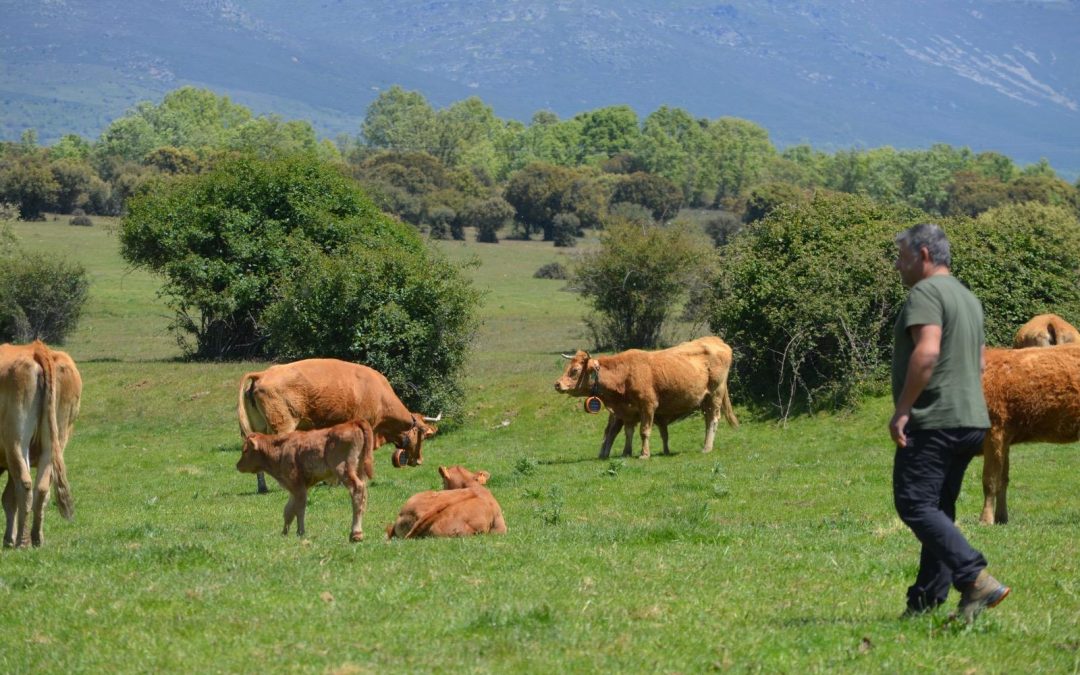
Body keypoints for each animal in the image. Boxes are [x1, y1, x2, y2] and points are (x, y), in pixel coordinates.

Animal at [1, 341, 81, 548]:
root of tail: (38, 349)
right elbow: (9, 499)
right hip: (55, 443)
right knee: (42, 488)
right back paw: (36, 537)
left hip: (17, 441)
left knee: (25, 484)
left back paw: (22, 541)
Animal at [236, 420, 376, 541]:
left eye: (245, 450)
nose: (237, 465)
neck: (280, 449)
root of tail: (353, 423)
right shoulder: (294, 488)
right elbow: (289, 510)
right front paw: (284, 533)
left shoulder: (298, 486)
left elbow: (299, 509)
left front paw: (300, 532)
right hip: (359, 471)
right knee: (363, 493)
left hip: (343, 470)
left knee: (357, 490)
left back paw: (355, 534)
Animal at [237, 359, 439, 493]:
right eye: (423, 435)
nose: (419, 460)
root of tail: (263, 374)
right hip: (283, 426)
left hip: (259, 427)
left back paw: (262, 487)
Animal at [554, 336, 738, 459]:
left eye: (575, 370)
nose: (557, 384)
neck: (625, 372)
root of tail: (717, 341)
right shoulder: (626, 411)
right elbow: (628, 432)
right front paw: (626, 453)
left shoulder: (648, 406)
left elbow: (644, 431)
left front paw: (644, 454)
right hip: (705, 400)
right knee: (708, 421)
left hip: (714, 395)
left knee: (713, 420)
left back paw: (707, 448)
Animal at [979, 344, 1080, 524]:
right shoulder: (1004, 437)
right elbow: (1003, 480)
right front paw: (1001, 518)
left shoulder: (993, 431)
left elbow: (990, 480)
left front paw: (985, 520)